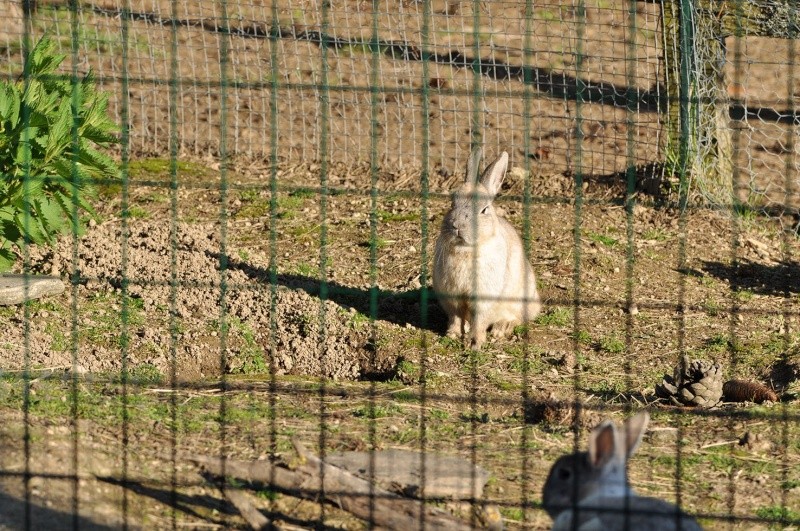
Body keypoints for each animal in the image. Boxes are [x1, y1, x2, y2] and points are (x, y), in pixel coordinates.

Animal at [434, 148, 540, 352]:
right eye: (452, 204)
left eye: (484, 210)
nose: (457, 226)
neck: (466, 249)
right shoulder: (452, 298)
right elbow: (455, 317)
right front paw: (452, 334)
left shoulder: (484, 299)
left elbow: (480, 321)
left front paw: (475, 343)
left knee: (517, 318)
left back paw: (501, 328)